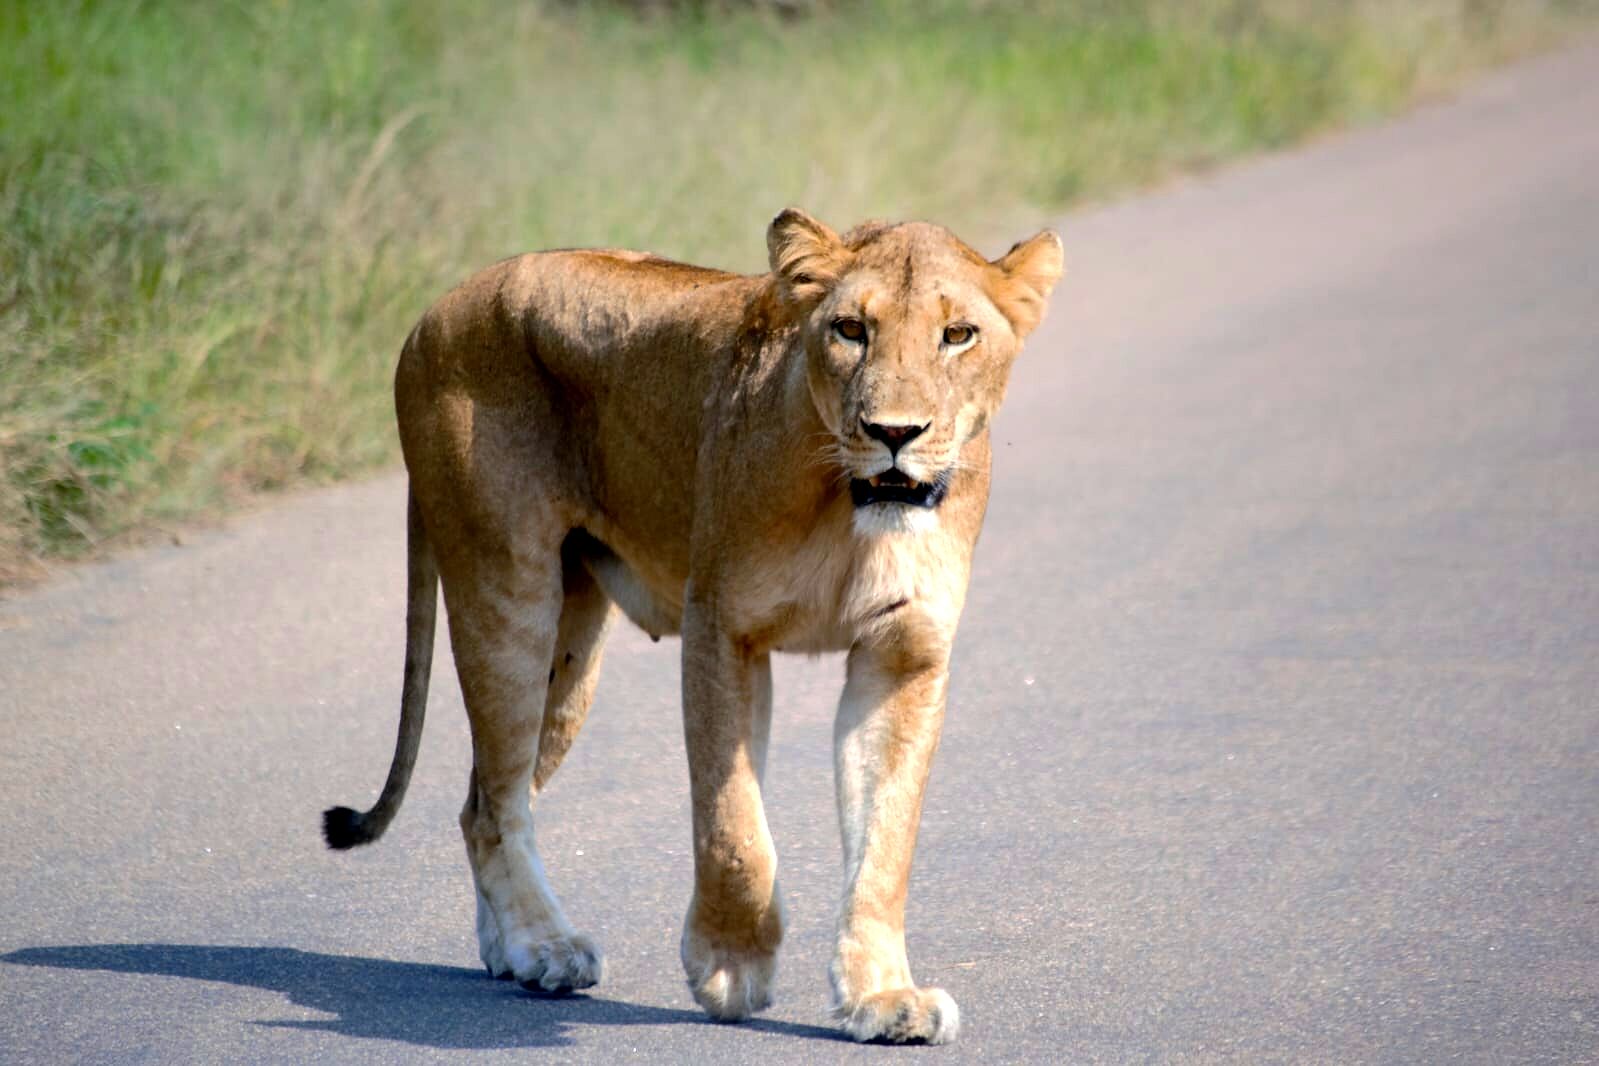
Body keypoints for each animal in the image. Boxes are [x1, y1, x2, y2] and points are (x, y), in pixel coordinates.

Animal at [322, 208, 1063, 1044]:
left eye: (957, 335)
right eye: (849, 329)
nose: (892, 432)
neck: (845, 504)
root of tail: (431, 314)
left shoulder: (903, 652)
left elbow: (885, 839)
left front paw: (883, 998)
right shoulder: (722, 628)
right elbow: (732, 824)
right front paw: (729, 965)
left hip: (568, 660)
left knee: (482, 796)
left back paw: (510, 950)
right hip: (505, 593)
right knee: (496, 802)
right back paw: (544, 946)